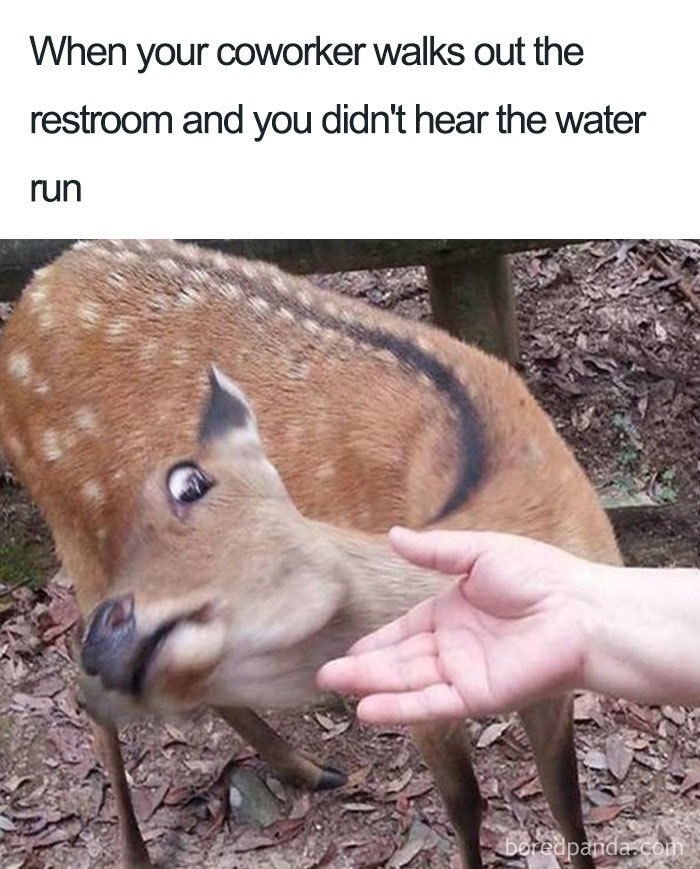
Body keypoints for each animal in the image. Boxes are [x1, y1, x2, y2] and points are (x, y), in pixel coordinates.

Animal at [0, 239, 621, 869]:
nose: (113, 636)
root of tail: (29, 299)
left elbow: (567, 806)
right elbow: (467, 807)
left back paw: (305, 769)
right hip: (76, 529)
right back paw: (136, 848)